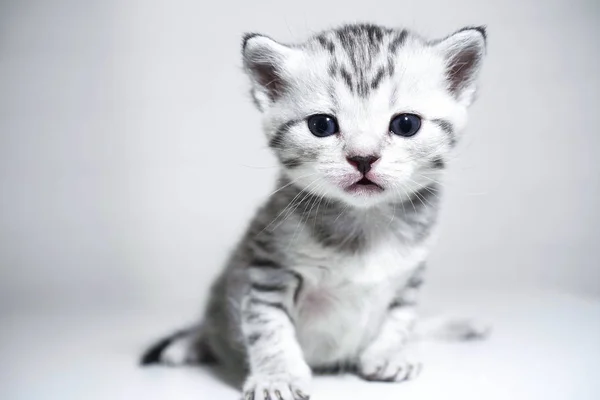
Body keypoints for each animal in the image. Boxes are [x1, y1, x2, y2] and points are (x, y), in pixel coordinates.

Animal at [141, 23, 488, 398]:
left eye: (406, 124)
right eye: (321, 125)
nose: (363, 158)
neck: (365, 226)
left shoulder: (410, 273)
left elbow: (402, 318)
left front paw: (387, 353)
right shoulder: (268, 268)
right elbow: (269, 326)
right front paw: (277, 375)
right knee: (213, 327)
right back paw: (188, 344)